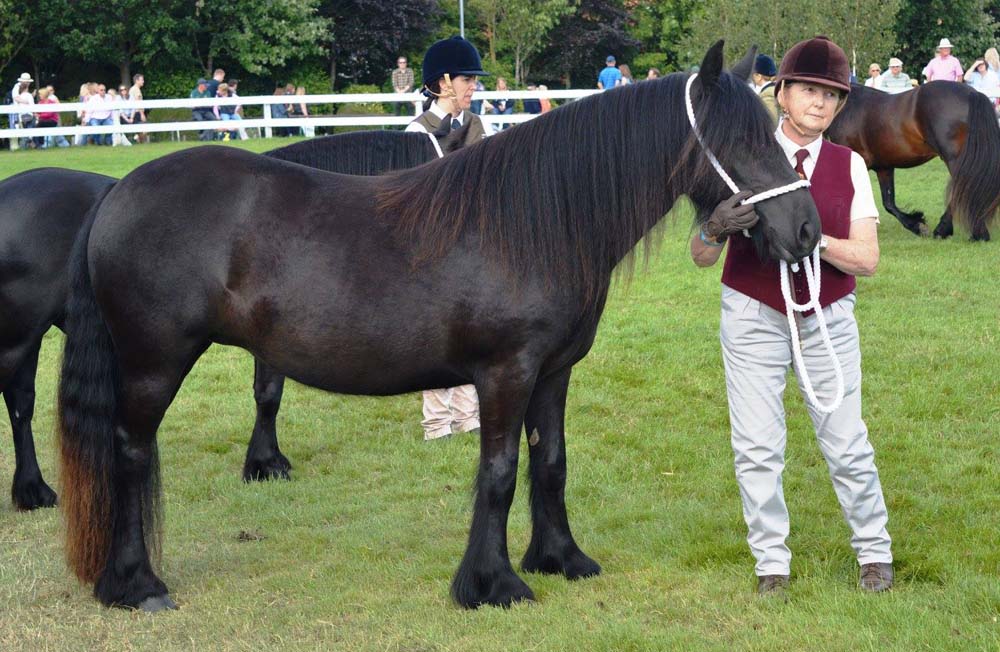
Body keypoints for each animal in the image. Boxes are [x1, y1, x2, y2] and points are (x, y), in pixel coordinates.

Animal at [0, 130, 460, 512]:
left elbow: (266, 394)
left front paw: (262, 461)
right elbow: (270, 395)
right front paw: (266, 463)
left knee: (21, 404)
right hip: (20, 337)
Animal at [52, 43, 820, 612]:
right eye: (741, 141)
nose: (808, 231)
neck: (533, 224)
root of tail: (119, 191)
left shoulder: (553, 372)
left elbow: (551, 463)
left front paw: (560, 558)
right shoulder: (505, 373)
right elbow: (499, 473)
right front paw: (492, 584)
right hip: (154, 362)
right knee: (129, 454)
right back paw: (137, 585)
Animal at [828, 81, 1000, 239]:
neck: (849, 107)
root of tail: (972, 93)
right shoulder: (884, 167)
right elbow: (888, 203)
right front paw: (916, 225)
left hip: (955, 160)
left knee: (963, 190)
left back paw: (952, 230)